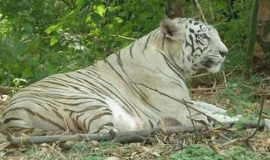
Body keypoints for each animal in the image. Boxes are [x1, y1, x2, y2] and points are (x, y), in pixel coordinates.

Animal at [1, 17, 266, 135]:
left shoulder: (189, 101)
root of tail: (10, 113)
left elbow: (215, 107)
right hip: (89, 102)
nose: (224, 52)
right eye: (203, 37)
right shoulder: (184, 109)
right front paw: (261, 120)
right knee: (102, 134)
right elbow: (221, 117)